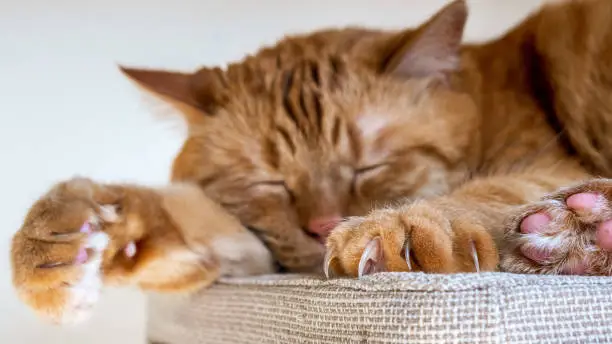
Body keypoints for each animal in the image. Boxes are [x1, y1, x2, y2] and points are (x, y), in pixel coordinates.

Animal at [9, 0, 612, 324]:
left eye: (369, 167)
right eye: (269, 183)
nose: (322, 226)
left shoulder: (548, 165)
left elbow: (493, 189)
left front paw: (410, 224)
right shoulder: (257, 252)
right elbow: (187, 221)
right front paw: (72, 235)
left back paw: (583, 228)